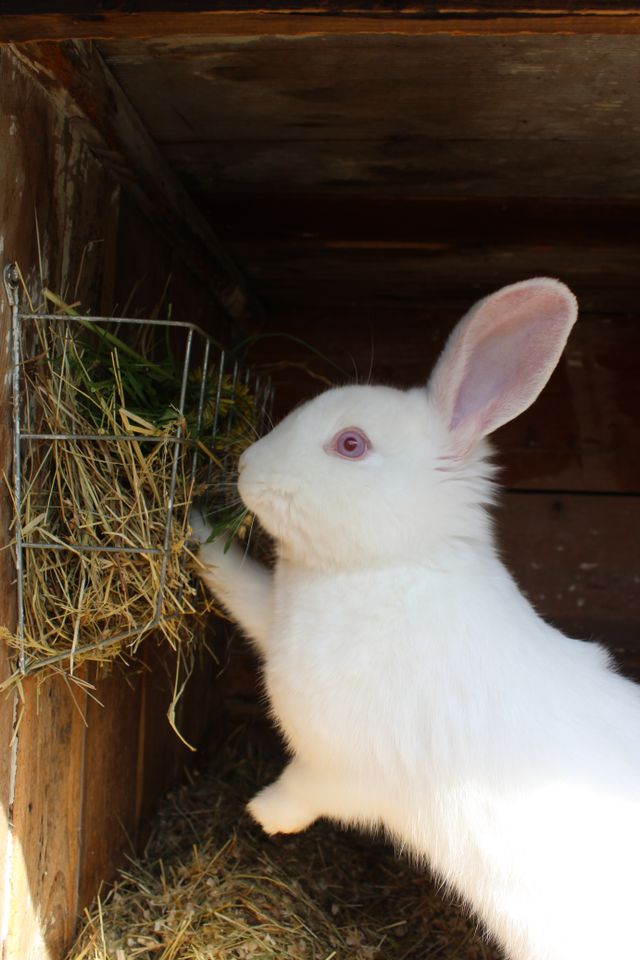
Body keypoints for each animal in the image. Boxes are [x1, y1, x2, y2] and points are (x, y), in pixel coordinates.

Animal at [195, 282, 640, 960]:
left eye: (351, 444)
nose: (246, 465)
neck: (397, 565)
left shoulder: (335, 766)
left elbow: (302, 790)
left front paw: (264, 815)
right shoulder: (272, 620)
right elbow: (241, 586)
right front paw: (191, 529)